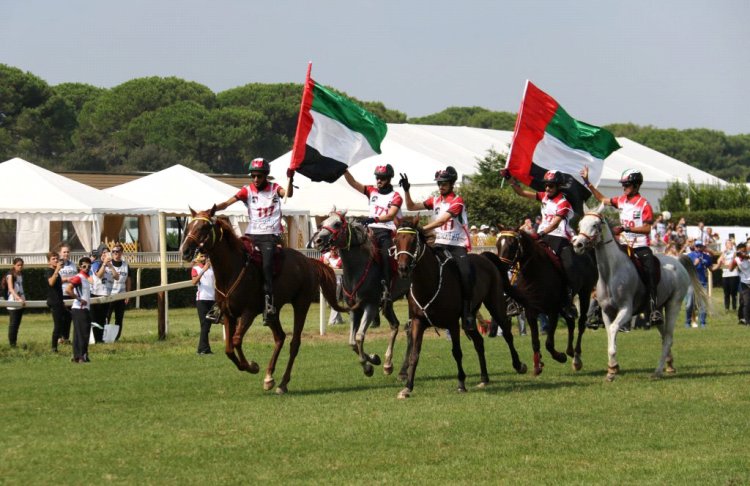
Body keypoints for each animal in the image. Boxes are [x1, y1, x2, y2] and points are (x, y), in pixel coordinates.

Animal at [181, 208, 348, 394]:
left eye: (204, 227)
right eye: (189, 226)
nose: (185, 250)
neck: (232, 270)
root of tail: (309, 262)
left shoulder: (248, 312)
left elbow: (236, 340)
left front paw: (252, 366)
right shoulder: (228, 314)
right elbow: (229, 349)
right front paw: (250, 367)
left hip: (301, 305)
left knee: (294, 343)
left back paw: (283, 383)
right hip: (273, 311)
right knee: (280, 337)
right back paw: (269, 377)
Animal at [314, 209, 414, 376]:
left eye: (337, 223)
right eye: (322, 223)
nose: (318, 240)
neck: (357, 270)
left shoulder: (370, 306)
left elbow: (360, 337)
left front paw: (368, 367)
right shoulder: (355, 309)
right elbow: (352, 342)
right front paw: (374, 359)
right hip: (388, 304)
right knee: (395, 325)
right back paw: (388, 364)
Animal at [394, 216, 528, 398]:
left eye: (413, 241)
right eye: (396, 240)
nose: (402, 268)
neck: (430, 281)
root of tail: (485, 257)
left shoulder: (452, 323)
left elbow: (456, 352)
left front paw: (461, 384)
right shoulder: (417, 322)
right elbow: (414, 354)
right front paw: (407, 387)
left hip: (495, 304)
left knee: (507, 334)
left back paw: (519, 365)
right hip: (470, 317)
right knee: (479, 341)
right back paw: (484, 378)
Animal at [494, 228, 600, 376]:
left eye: (512, 244)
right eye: (498, 244)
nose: (501, 267)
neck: (535, 274)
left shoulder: (552, 311)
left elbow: (549, 343)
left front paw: (560, 357)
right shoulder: (531, 312)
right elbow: (535, 341)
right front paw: (537, 365)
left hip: (585, 293)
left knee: (580, 323)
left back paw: (576, 359)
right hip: (564, 305)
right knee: (571, 322)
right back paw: (570, 351)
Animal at [576, 204, 712, 380]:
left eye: (594, 224)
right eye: (580, 224)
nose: (577, 244)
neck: (611, 272)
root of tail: (677, 260)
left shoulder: (626, 310)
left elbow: (613, 329)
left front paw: (612, 369)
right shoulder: (606, 312)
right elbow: (610, 335)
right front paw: (613, 369)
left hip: (673, 305)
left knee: (668, 338)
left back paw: (658, 371)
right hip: (657, 309)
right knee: (664, 336)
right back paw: (669, 364)